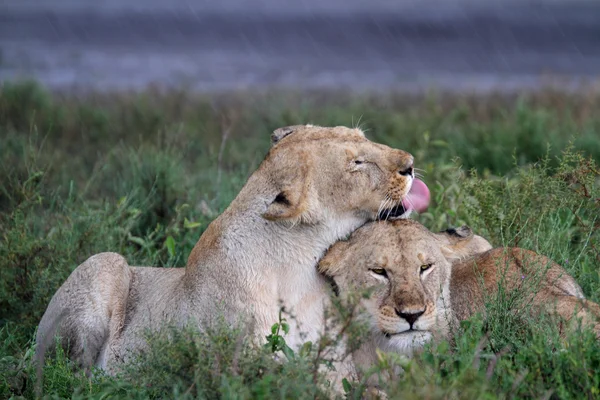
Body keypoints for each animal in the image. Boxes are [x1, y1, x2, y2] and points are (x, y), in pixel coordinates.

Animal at [34, 125, 432, 376]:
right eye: (356, 163)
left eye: (364, 138)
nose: (411, 163)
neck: (297, 266)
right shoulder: (237, 360)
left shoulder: (334, 360)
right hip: (105, 262)